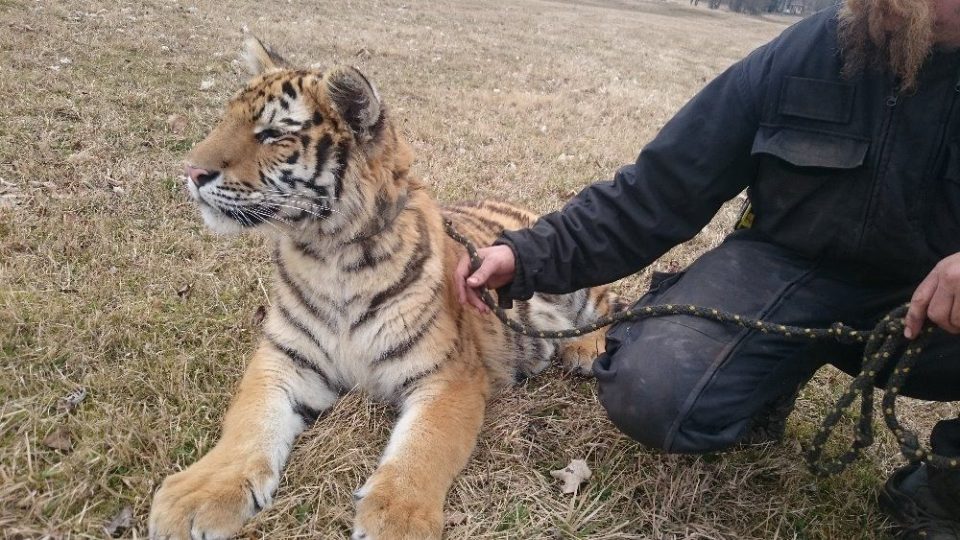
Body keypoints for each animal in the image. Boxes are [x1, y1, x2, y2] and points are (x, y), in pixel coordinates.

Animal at [149, 38, 616, 540]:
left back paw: (586, 349)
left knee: (611, 302)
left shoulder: (447, 376)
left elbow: (424, 448)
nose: (190, 171)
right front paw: (197, 496)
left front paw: (397, 518)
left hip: (576, 284)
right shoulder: (282, 360)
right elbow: (248, 423)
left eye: (272, 134)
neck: (331, 256)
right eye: (226, 119)